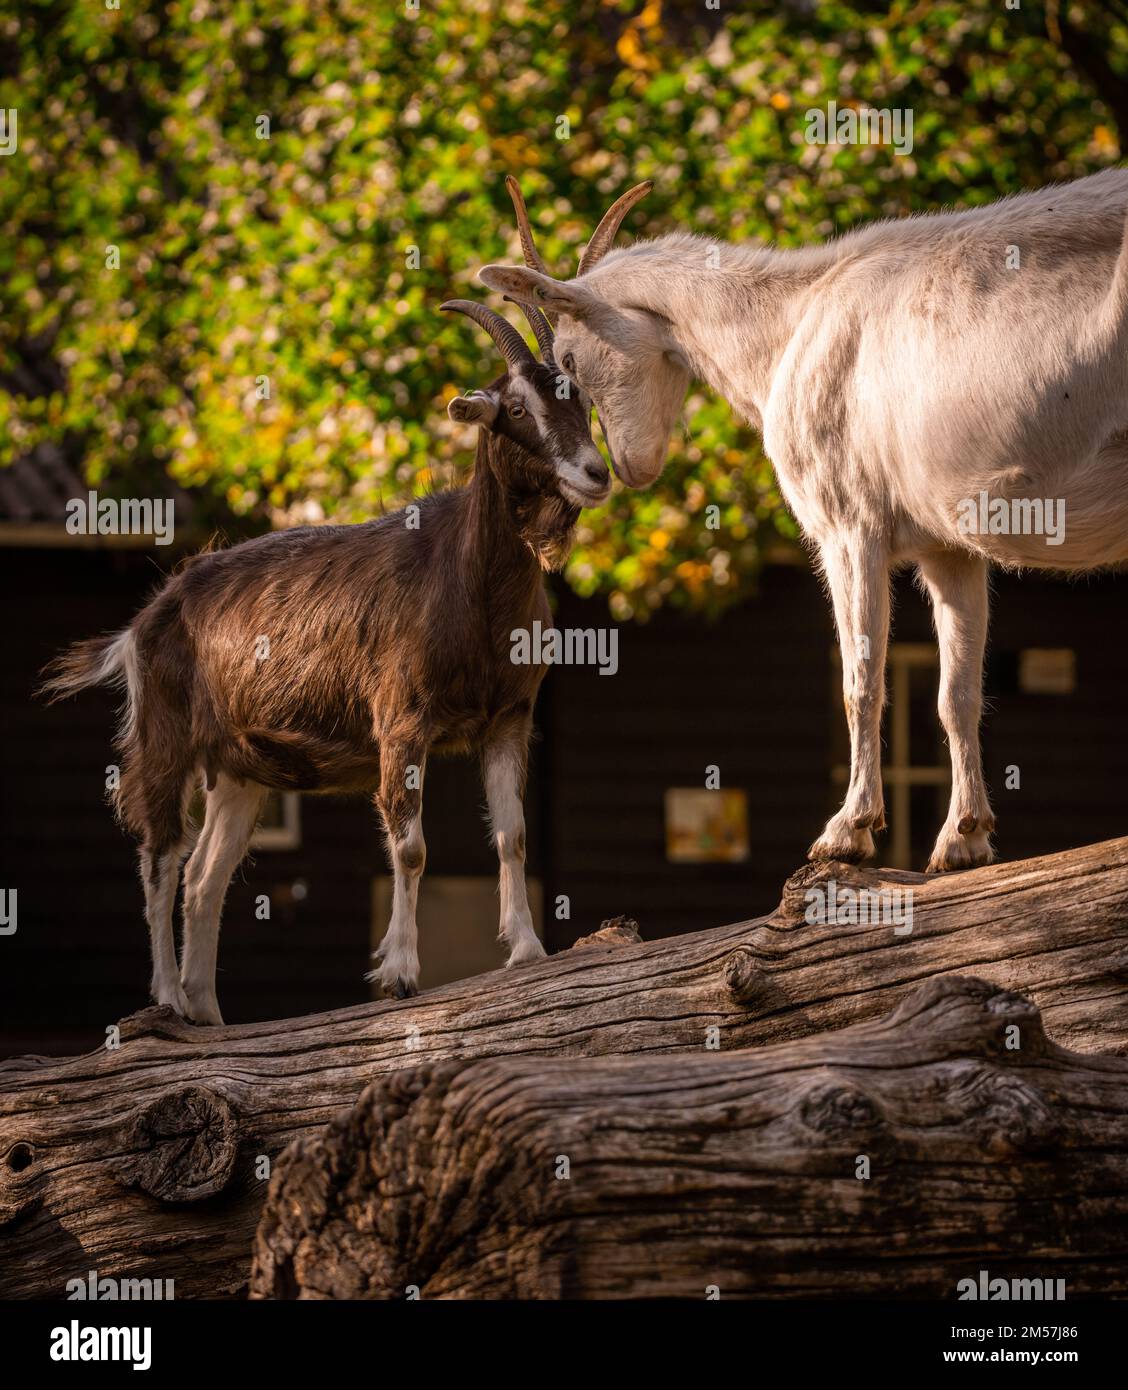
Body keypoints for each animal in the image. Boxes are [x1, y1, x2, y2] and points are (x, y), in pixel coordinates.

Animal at [41, 298, 610, 1022]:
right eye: (515, 407)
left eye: (580, 397)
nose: (596, 474)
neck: (470, 581)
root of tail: (145, 621)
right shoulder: (401, 722)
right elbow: (410, 846)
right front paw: (399, 972)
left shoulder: (509, 717)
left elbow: (512, 836)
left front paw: (529, 951)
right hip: (165, 740)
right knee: (160, 858)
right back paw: (169, 1001)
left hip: (239, 770)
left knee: (203, 878)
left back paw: (209, 1015)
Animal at [481, 169, 1128, 873]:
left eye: (569, 362)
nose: (623, 468)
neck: (795, 319)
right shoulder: (948, 548)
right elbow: (957, 693)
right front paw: (965, 840)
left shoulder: (849, 526)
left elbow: (859, 681)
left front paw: (848, 831)